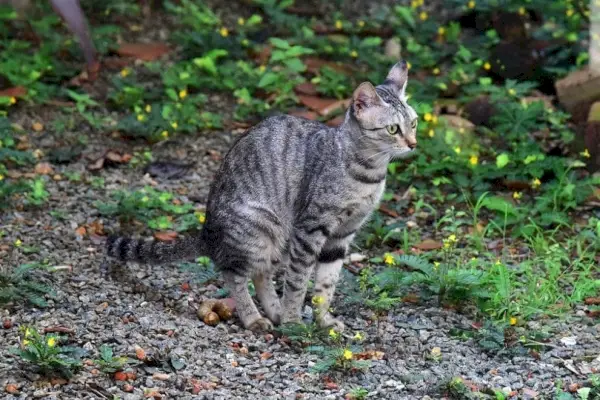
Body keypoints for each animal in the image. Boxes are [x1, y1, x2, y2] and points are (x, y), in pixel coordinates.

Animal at [105, 60, 418, 332]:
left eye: (413, 124)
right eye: (393, 129)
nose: (414, 144)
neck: (367, 174)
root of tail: (207, 232)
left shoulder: (342, 235)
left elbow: (325, 285)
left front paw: (322, 321)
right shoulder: (310, 229)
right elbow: (297, 282)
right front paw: (294, 321)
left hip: (279, 239)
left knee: (261, 274)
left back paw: (274, 312)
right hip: (260, 228)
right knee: (234, 273)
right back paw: (254, 318)